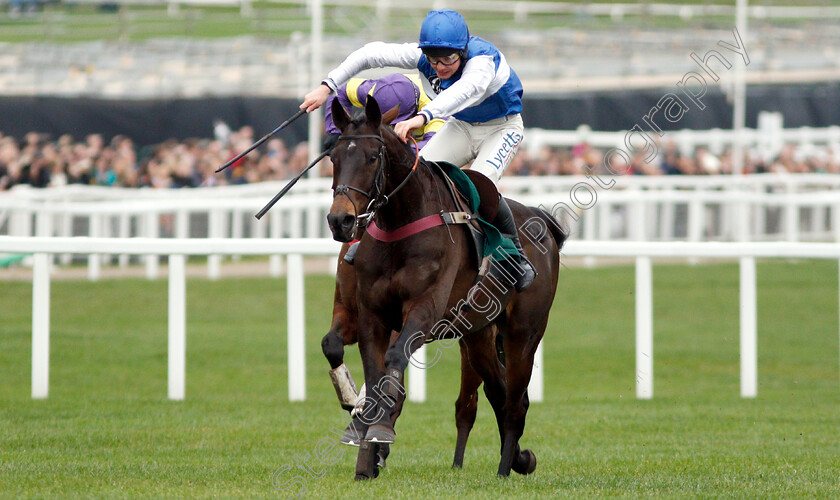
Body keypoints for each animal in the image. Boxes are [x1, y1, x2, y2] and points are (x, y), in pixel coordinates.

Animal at [324, 95, 568, 478]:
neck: (399, 225)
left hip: (524, 332)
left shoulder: (423, 311)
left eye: (373, 157)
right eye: (333, 156)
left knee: (515, 402)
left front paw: (378, 432)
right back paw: (516, 459)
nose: (341, 220)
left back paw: (506, 469)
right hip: (478, 334)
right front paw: (363, 439)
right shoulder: (368, 314)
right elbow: (362, 365)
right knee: (497, 393)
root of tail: (541, 219)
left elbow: (394, 360)